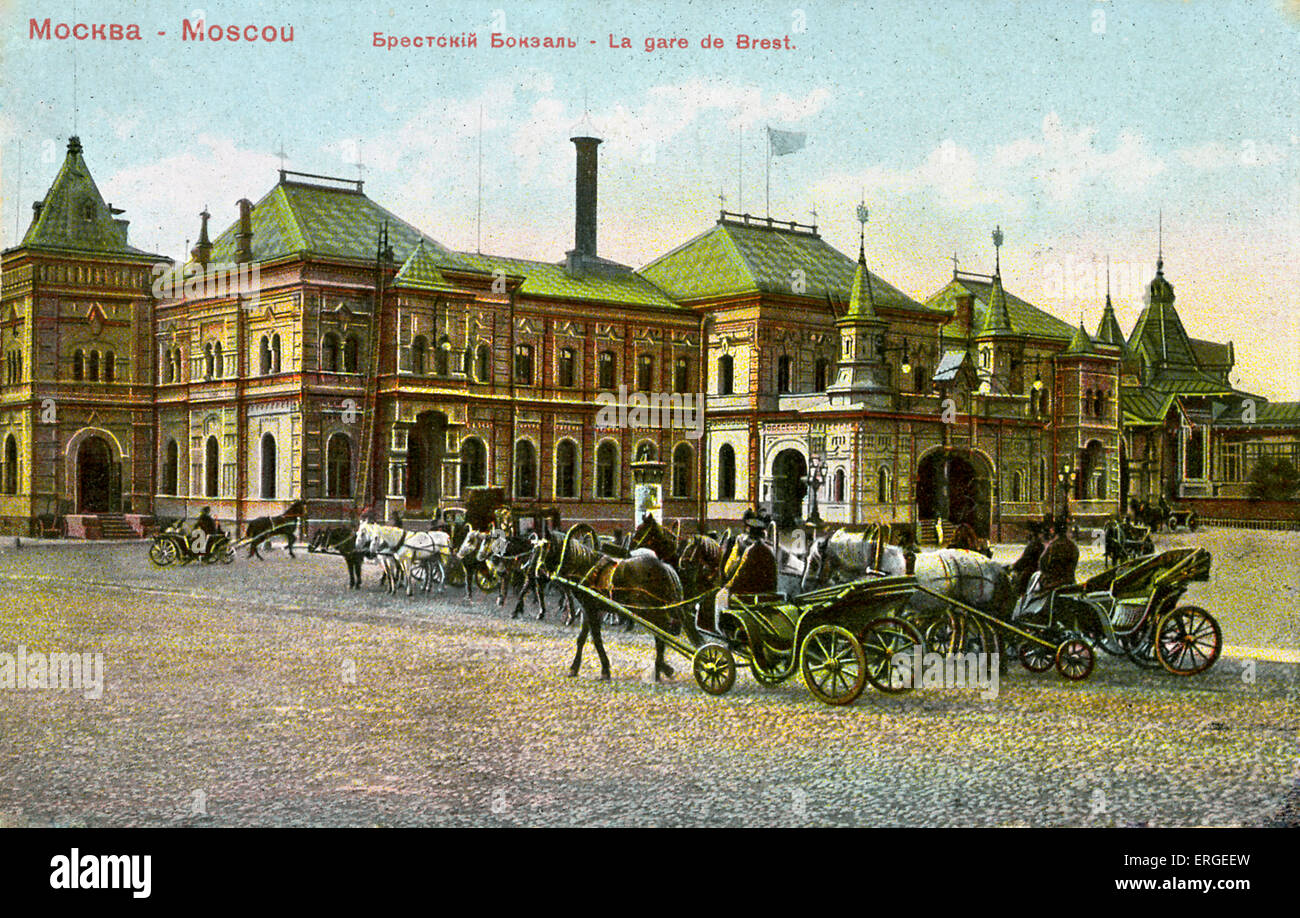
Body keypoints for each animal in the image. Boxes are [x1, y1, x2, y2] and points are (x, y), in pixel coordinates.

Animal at [533, 530, 686, 681]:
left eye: (548, 548)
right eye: (538, 548)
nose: (538, 571)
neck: (586, 569)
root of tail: (665, 567)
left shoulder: (591, 609)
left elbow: (596, 639)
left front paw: (605, 669)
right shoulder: (589, 609)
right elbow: (581, 638)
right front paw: (574, 668)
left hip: (650, 610)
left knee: (661, 634)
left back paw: (659, 668)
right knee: (662, 633)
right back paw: (663, 667)